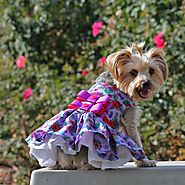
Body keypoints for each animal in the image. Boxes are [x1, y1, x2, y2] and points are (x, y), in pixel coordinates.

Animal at [26, 42, 168, 170]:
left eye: (151, 71)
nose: (146, 83)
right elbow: (136, 142)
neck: (118, 85)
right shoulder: (129, 119)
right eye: (133, 72)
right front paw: (145, 161)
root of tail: (60, 161)